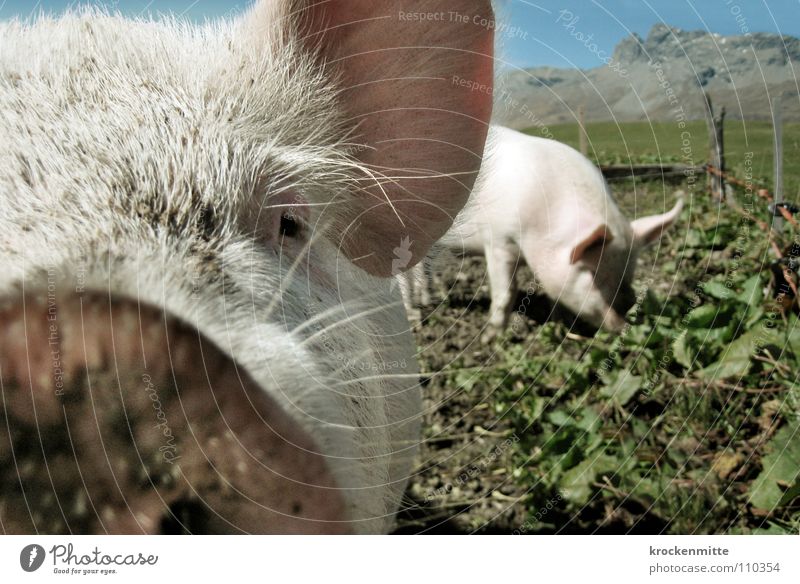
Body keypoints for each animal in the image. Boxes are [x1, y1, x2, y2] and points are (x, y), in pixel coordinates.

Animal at [404, 126, 684, 338]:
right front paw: (491, 339)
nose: (626, 323)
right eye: (593, 273)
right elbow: (506, 293)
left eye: (630, 271)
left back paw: (429, 302)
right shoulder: (499, 242)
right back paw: (416, 315)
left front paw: (561, 323)